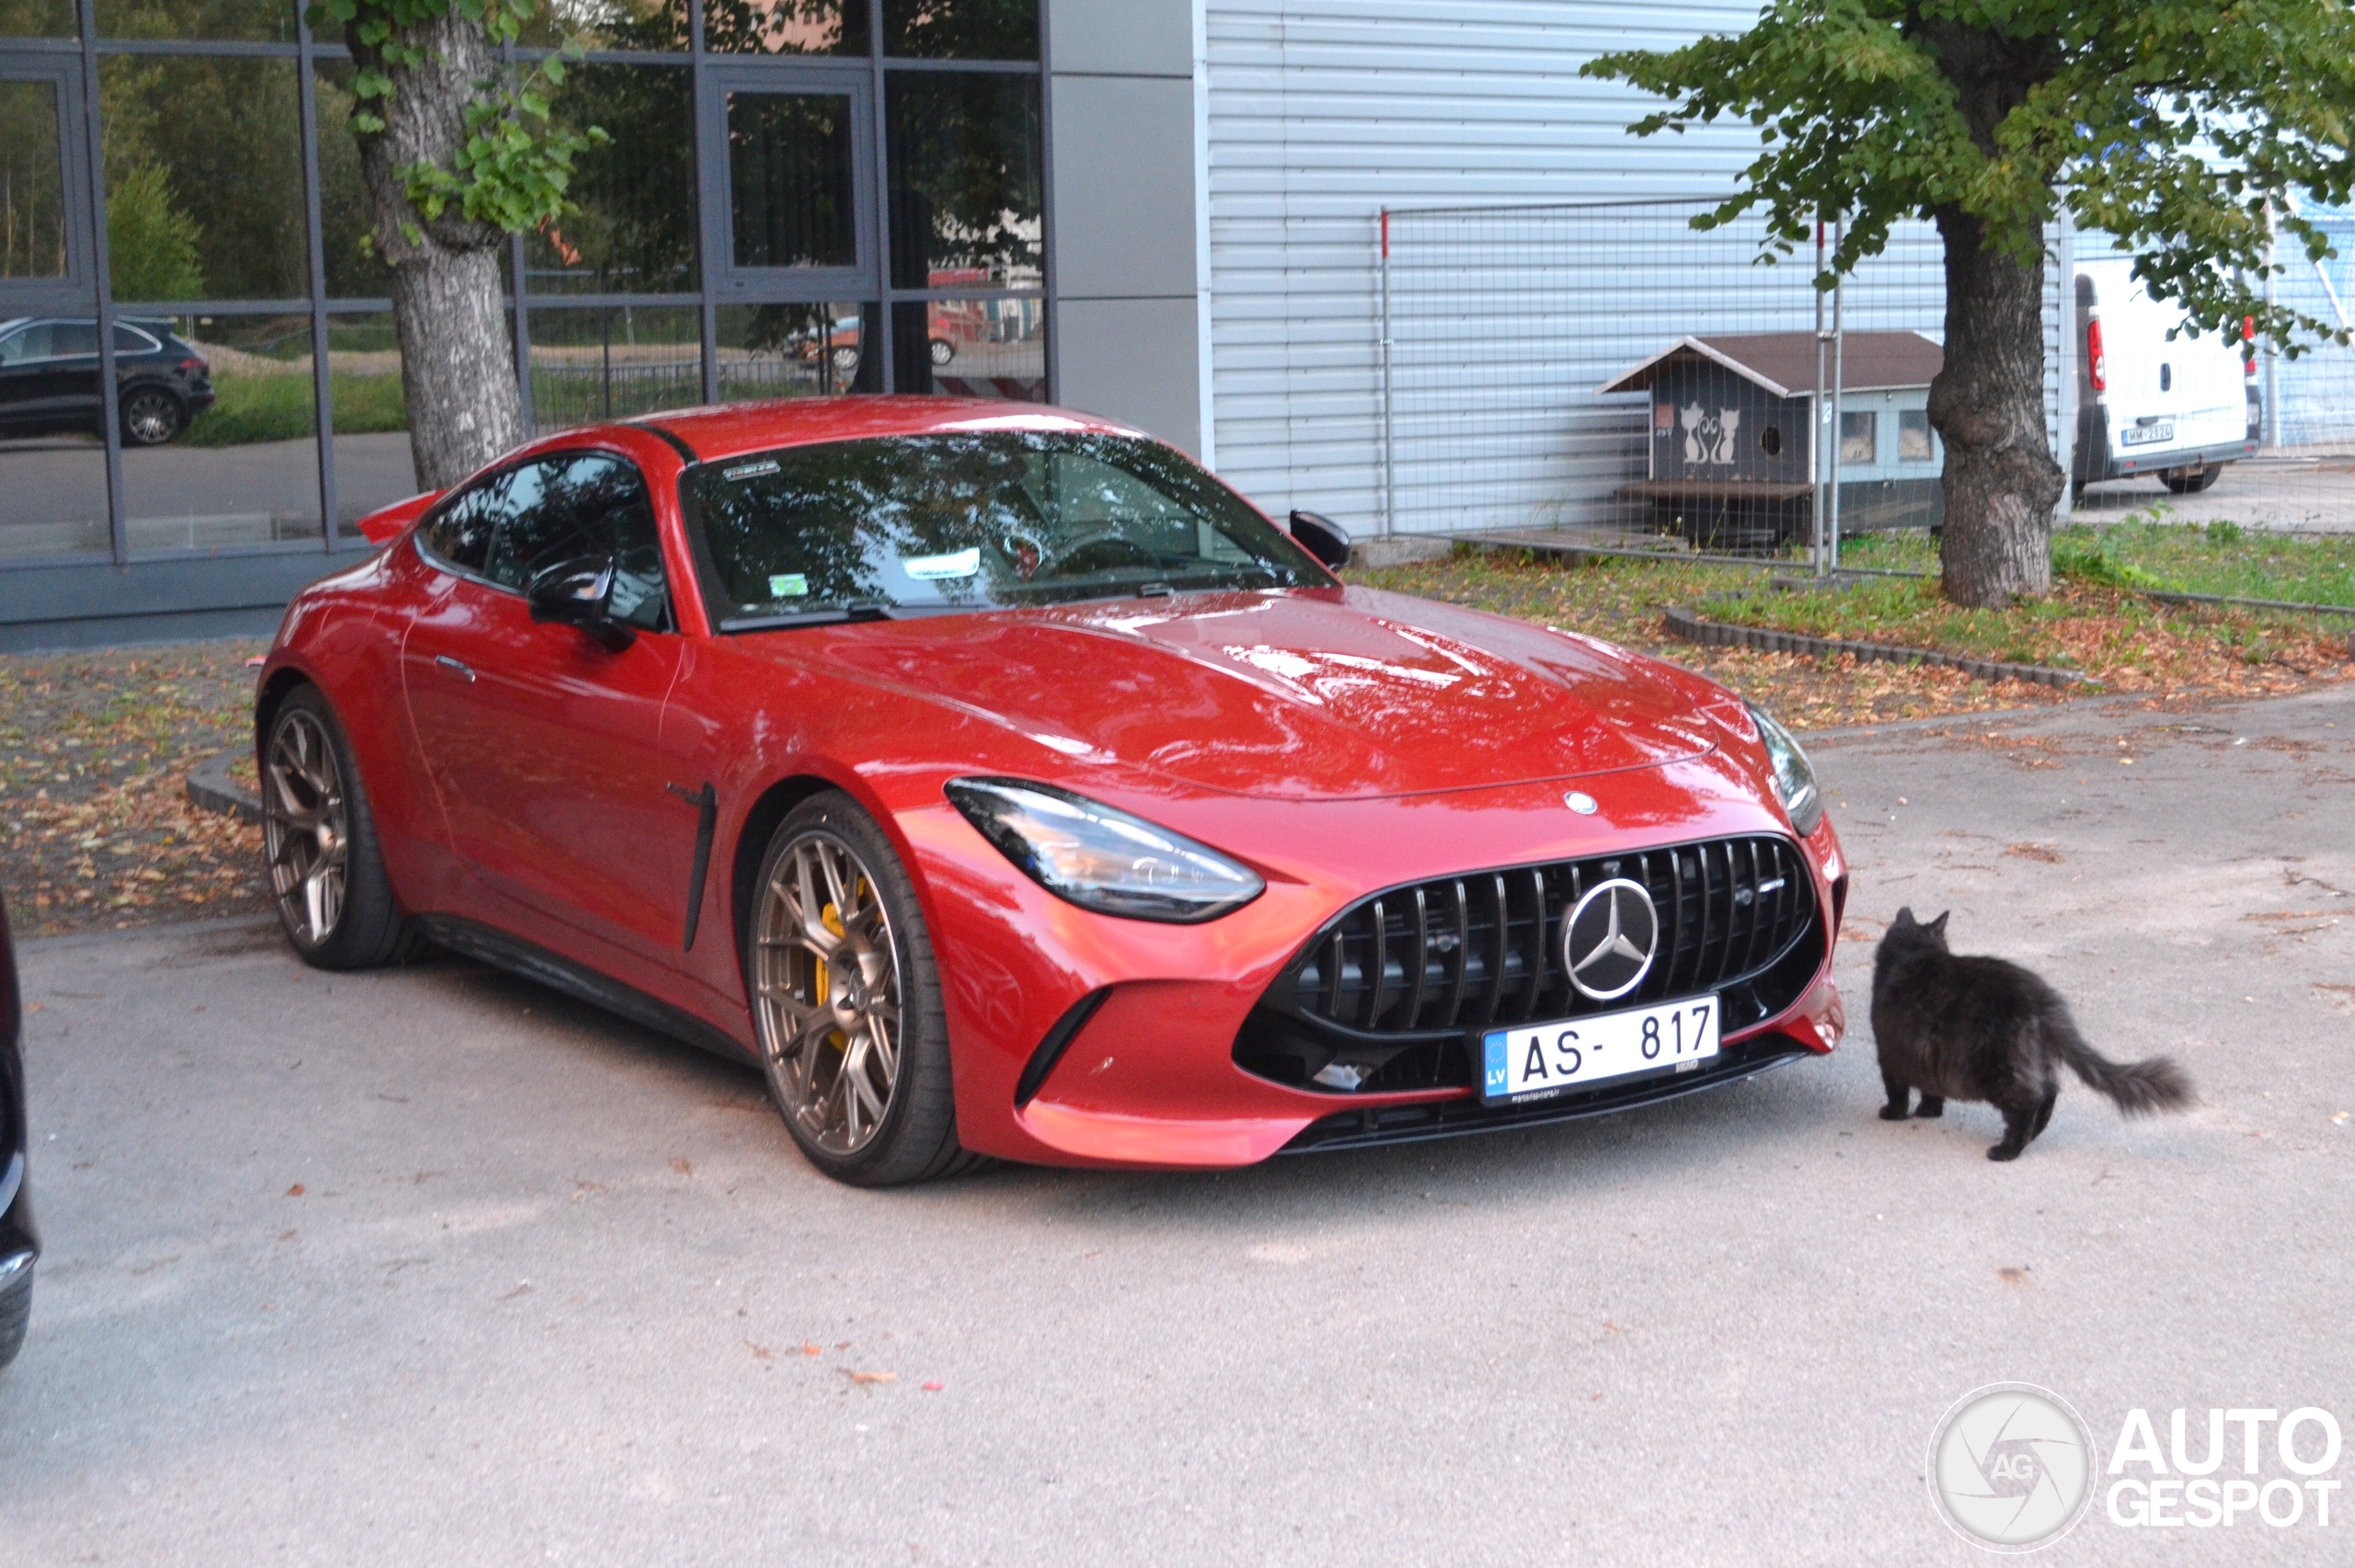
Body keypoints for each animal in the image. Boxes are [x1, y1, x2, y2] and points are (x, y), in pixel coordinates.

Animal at [1874, 909, 2185, 1153]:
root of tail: (2038, 995)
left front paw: (1894, 1113)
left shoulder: (1890, 1054)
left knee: (2027, 1101)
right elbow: (1931, 1088)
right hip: (2032, 1058)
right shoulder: (1924, 1056)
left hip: (1994, 1067)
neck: (1913, 954)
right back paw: (2033, 1135)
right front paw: (1929, 1112)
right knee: (2049, 1092)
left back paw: (2007, 1150)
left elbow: (1898, 1090)